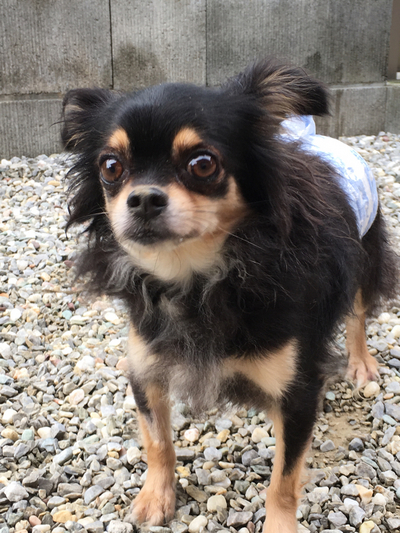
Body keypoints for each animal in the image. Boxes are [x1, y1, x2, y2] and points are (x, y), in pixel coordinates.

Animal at [61, 59, 398, 532]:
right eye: (110, 167)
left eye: (202, 164)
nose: (142, 198)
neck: (196, 280)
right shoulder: (145, 368)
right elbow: (157, 441)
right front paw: (156, 497)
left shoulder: (298, 393)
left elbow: (283, 481)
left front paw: (279, 526)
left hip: (365, 258)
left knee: (357, 314)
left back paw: (360, 362)